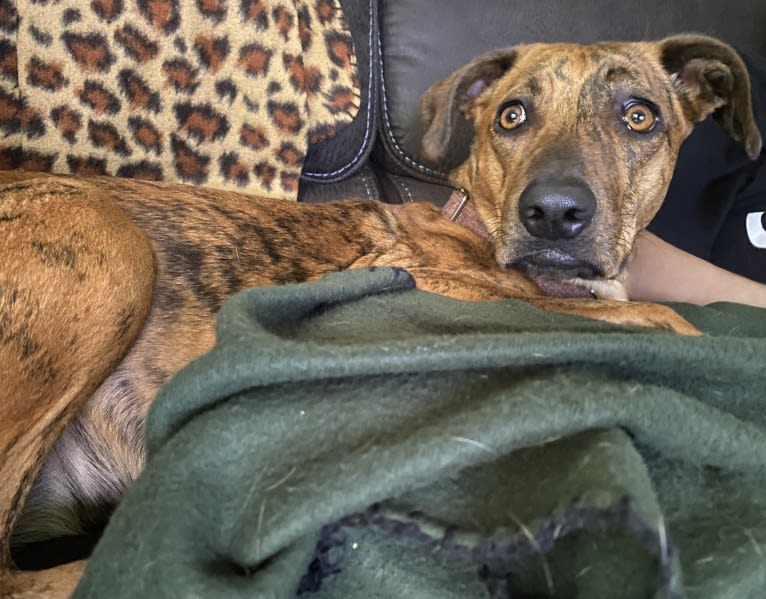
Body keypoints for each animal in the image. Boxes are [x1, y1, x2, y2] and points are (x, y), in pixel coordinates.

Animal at [3, 35, 764, 596]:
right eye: (511, 116)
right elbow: (662, 317)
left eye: (640, 116)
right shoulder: (436, 283)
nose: (552, 213)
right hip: (104, 237)